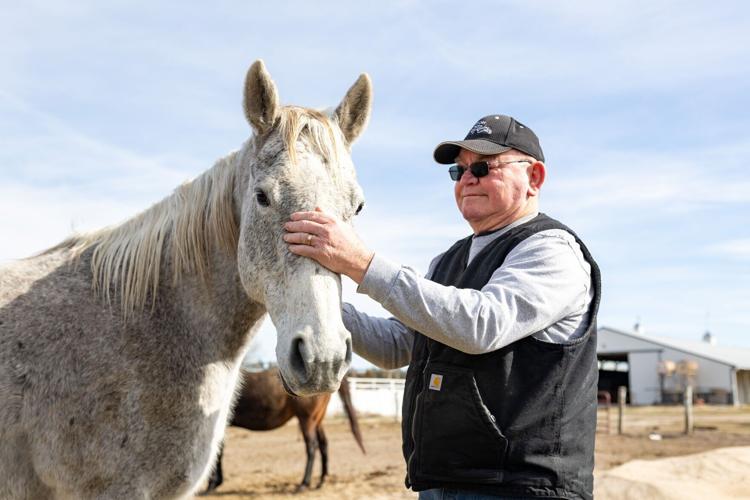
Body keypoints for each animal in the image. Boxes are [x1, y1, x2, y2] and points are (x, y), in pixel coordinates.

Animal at [204, 369, 366, 493]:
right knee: (323, 444)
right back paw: (321, 480)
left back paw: (304, 484)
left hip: (306, 420)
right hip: (317, 420)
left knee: (311, 447)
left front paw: (212, 485)